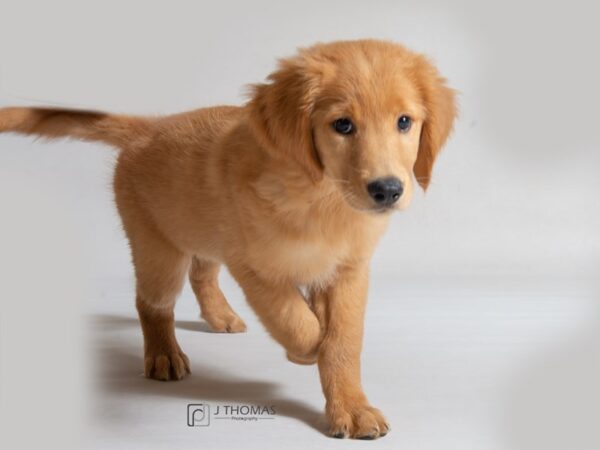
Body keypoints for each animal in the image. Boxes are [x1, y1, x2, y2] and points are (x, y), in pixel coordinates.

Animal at [0, 39, 454, 440]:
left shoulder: (349, 271)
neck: (320, 194)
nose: (387, 190)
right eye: (342, 125)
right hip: (158, 249)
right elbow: (295, 320)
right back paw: (163, 355)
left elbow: (344, 340)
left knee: (201, 274)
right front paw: (306, 348)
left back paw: (219, 316)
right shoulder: (254, 266)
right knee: (151, 302)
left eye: (404, 122)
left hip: (205, 229)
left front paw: (352, 407)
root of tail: (149, 127)